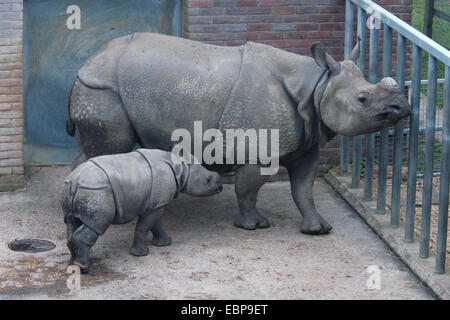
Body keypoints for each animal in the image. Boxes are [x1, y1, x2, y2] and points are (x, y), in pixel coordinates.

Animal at [60, 148, 222, 272]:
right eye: (208, 180)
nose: (220, 186)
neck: (181, 169)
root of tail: (75, 180)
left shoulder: (157, 203)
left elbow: (157, 224)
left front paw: (164, 243)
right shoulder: (156, 204)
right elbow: (144, 226)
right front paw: (141, 254)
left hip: (75, 189)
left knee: (72, 222)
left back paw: (73, 264)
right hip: (95, 192)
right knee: (96, 225)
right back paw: (84, 268)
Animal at [67, 33, 412, 235]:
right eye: (363, 99)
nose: (403, 107)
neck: (316, 86)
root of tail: (87, 61)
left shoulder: (307, 144)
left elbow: (304, 189)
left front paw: (318, 230)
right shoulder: (258, 150)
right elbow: (248, 190)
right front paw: (254, 226)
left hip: (101, 88)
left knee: (92, 151)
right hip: (101, 88)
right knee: (112, 148)